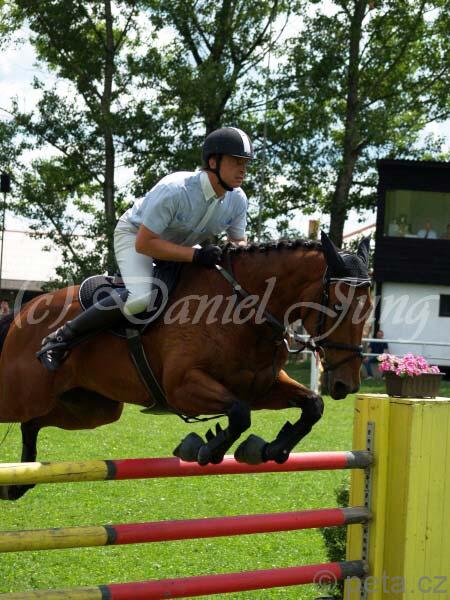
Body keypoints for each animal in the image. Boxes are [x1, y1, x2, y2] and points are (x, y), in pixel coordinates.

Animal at [0, 232, 372, 500]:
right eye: (338, 306)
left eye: (369, 310)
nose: (347, 385)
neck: (243, 310)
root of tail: (23, 312)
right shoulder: (183, 387)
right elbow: (239, 413)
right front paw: (206, 448)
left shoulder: (261, 387)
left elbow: (312, 405)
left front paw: (270, 448)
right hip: (22, 395)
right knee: (23, 417)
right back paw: (53, 347)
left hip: (92, 408)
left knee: (32, 424)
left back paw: (17, 482)